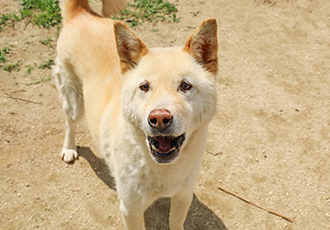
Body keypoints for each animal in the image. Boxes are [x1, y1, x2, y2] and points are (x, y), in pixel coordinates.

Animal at [53, 0, 219, 228]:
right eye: (144, 86)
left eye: (186, 86)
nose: (159, 118)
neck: (163, 170)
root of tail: (81, 14)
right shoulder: (131, 209)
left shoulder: (183, 196)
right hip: (74, 100)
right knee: (70, 122)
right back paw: (69, 148)